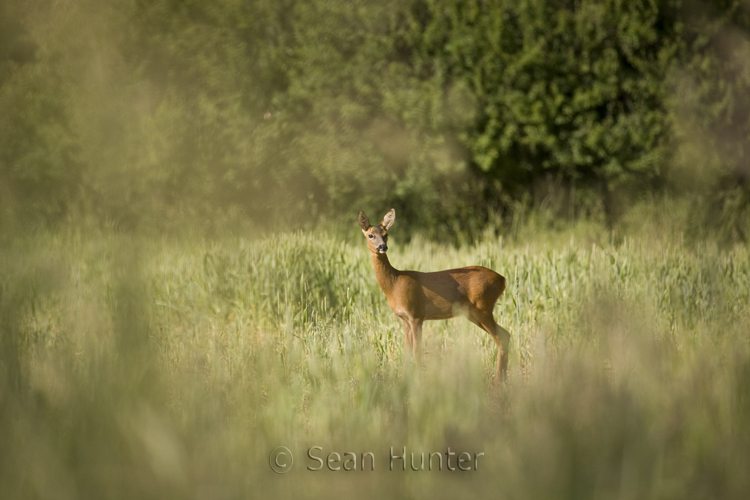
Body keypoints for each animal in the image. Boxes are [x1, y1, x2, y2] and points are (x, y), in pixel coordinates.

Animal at [356, 209, 512, 380]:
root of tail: (502, 279)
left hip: (482, 307)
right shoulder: (404, 319)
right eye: (371, 235)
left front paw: (418, 381)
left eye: (386, 234)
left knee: (501, 337)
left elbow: (417, 352)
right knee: (505, 335)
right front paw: (403, 380)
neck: (394, 284)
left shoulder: (416, 315)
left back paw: (497, 382)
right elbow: (406, 351)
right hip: (473, 313)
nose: (382, 246)